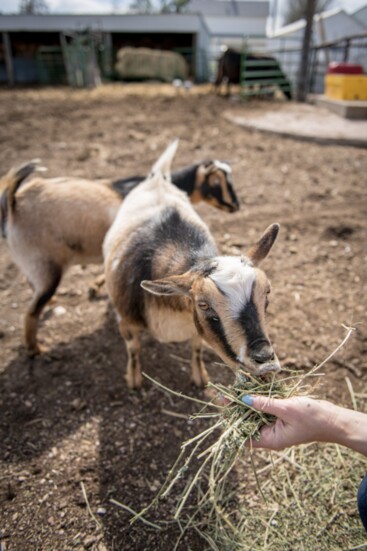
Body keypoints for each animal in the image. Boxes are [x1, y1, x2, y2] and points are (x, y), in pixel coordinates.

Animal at [0, 155, 239, 356]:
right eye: (215, 182)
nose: (236, 206)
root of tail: (13, 203)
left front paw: (96, 286)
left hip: (35, 265)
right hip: (45, 265)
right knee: (31, 311)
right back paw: (36, 349)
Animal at [102, 142, 280, 392]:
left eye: (267, 293)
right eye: (203, 304)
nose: (264, 361)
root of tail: (158, 178)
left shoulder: (194, 326)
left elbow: (196, 347)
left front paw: (200, 376)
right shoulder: (126, 323)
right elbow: (134, 350)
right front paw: (134, 380)